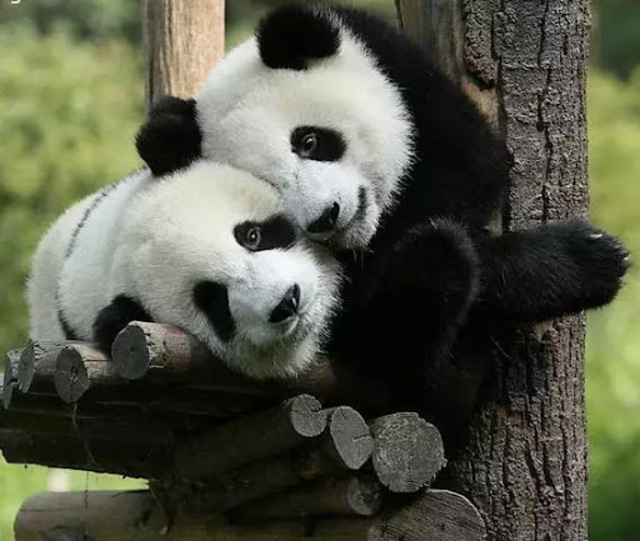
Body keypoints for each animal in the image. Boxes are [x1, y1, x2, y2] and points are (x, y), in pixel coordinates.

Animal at [136, 4, 632, 392]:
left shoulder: (407, 80)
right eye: (271, 187)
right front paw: (584, 261)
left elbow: (474, 168)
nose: (326, 216)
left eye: (309, 141)